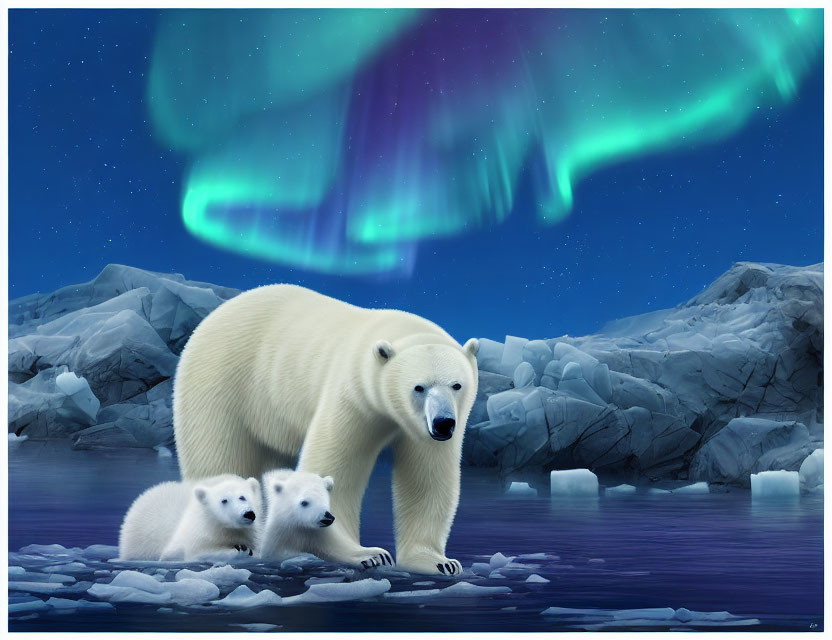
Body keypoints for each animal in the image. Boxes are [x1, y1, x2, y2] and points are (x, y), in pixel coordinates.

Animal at [118, 472, 262, 564]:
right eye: (224, 500)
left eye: (243, 497)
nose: (248, 514)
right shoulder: (194, 534)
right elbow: (189, 553)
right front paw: (239, 550)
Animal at [172, 284, 478, 576]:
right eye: (418, 387)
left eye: (457, 385)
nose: (443, 423)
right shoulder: (353, 395)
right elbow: (337, 466)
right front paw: (367, 554)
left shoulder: (422, 429)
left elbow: (427, 478)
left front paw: (439, 562)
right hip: (223, 382)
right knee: (219, 456)